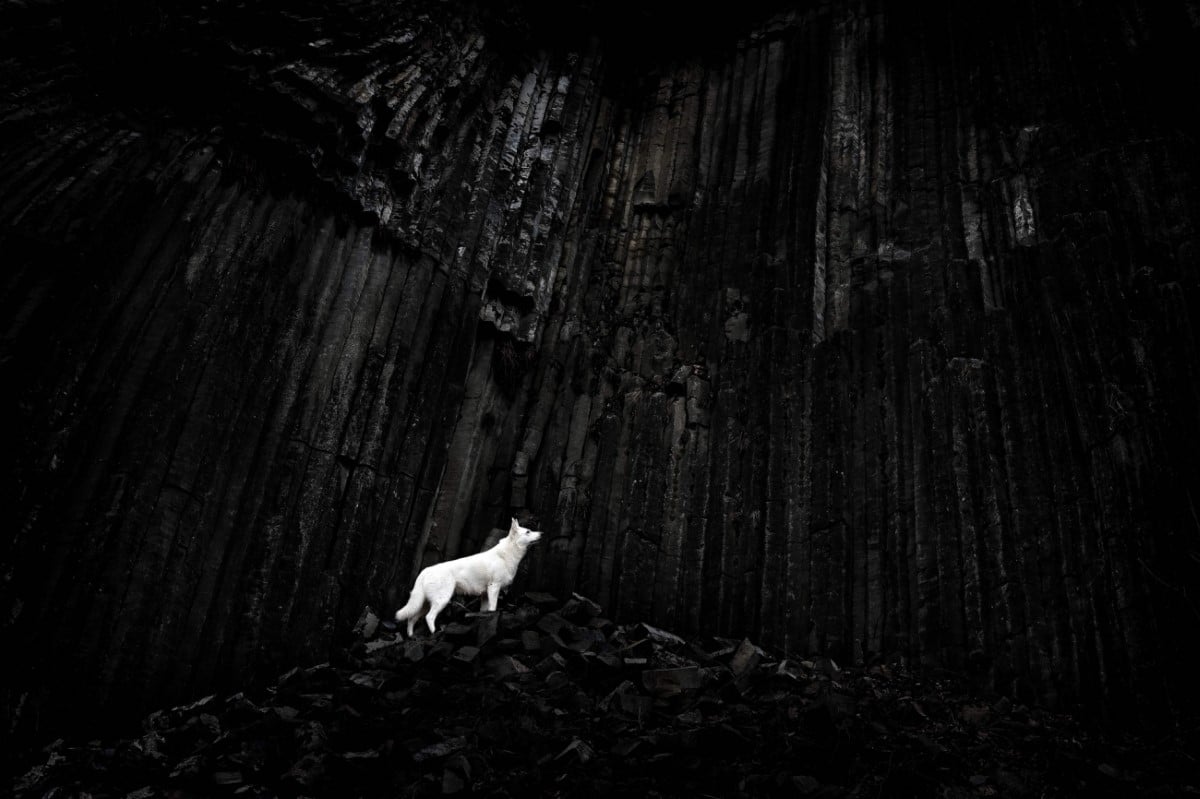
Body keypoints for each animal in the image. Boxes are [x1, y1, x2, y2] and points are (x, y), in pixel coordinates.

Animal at [393, 515, 544, 633]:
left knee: (411, 619)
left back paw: (411, 637)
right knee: (429, 617)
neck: (505, 555)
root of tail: (425, 571)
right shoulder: (494, 587)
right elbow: (493, 608)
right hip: (442, 599)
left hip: (423, 604)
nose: (542, 533)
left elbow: (485, 611)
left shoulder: (485, 595)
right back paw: (434, 633)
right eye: (528, 532)